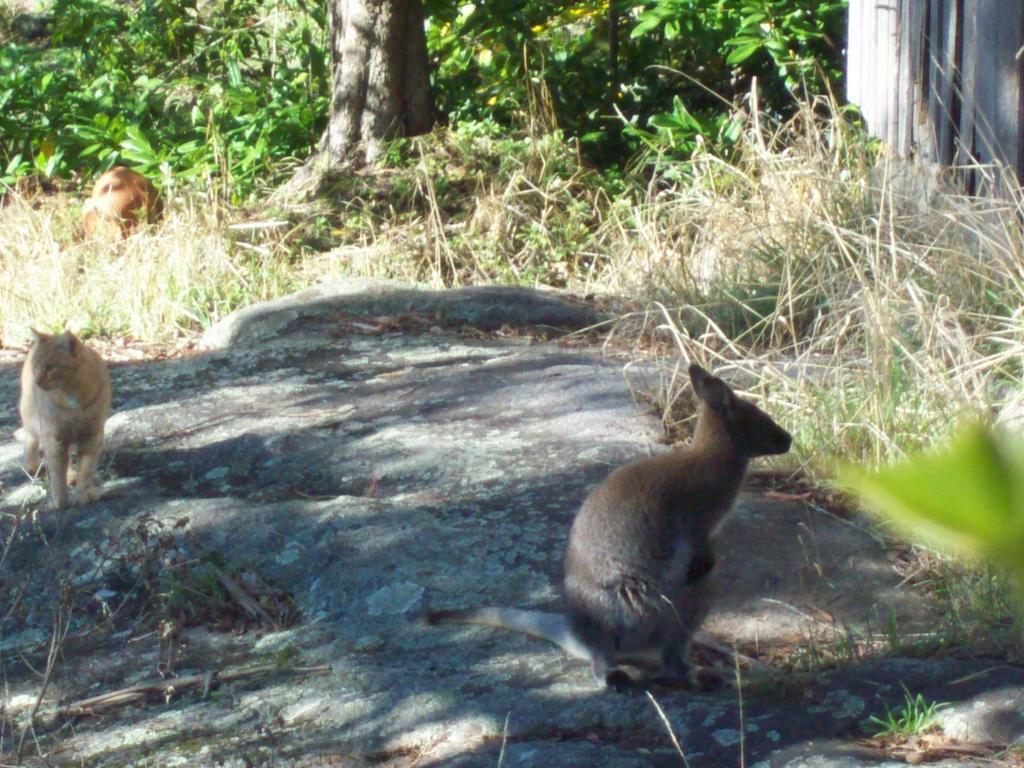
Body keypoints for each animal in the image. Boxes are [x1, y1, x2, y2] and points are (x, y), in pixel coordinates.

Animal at [18, 331, 112, 507]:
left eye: (50, 367)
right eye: (36, 366)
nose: (37, 381)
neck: (72, 394)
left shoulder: (92, 434)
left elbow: (87, 468)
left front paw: (83, 493)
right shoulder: (54, 435)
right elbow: (56, 470)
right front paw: (60, 500)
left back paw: (71, 476)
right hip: (31, 416)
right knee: (31, 440)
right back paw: (32, 466)